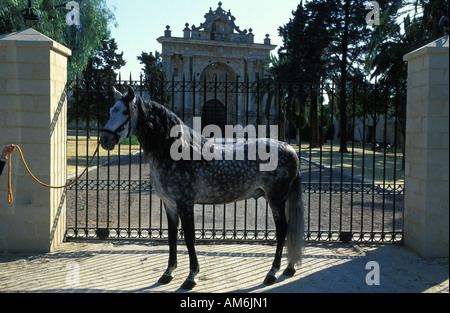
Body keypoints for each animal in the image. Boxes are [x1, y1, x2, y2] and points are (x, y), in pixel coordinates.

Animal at [102, 86, 306, 290]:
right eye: (111, 110)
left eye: (124, 112)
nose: (104, 139)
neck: (176, 153)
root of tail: (290, 149)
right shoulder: (170, 205)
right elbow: (172, 238)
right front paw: (168, 273)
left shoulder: (185, 204)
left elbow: (189, 238)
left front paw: (191, 277)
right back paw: (289, 268)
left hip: (276, 200)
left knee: (282, 231)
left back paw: (272, 273)